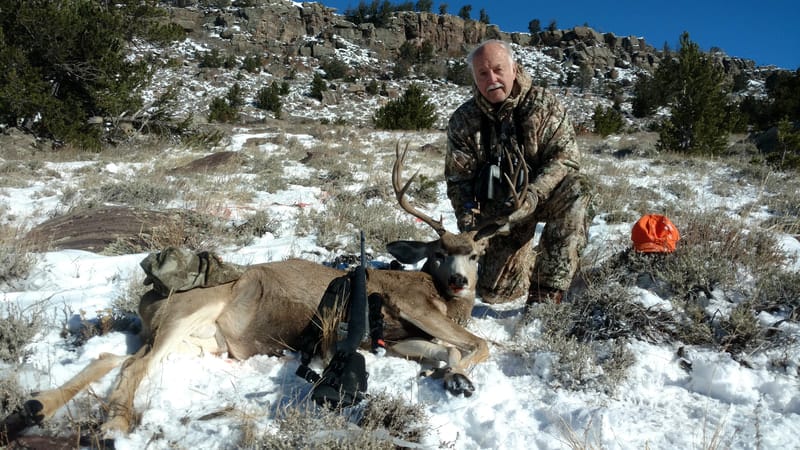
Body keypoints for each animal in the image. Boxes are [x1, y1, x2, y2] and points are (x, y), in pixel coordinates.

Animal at [1, 143, 530, 443]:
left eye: (476, 254)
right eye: (439, 252)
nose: (460, 281)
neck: (442, 298)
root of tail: (150, 291)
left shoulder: (398, 340)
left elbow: (446, 351)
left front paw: (450, 374)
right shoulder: (412, 305)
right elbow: (478, 343)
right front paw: (459, 379)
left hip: (195, 340)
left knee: (116, 355)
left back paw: (35, 407)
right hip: (190, 310)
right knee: (135, 363)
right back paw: (113, 425)